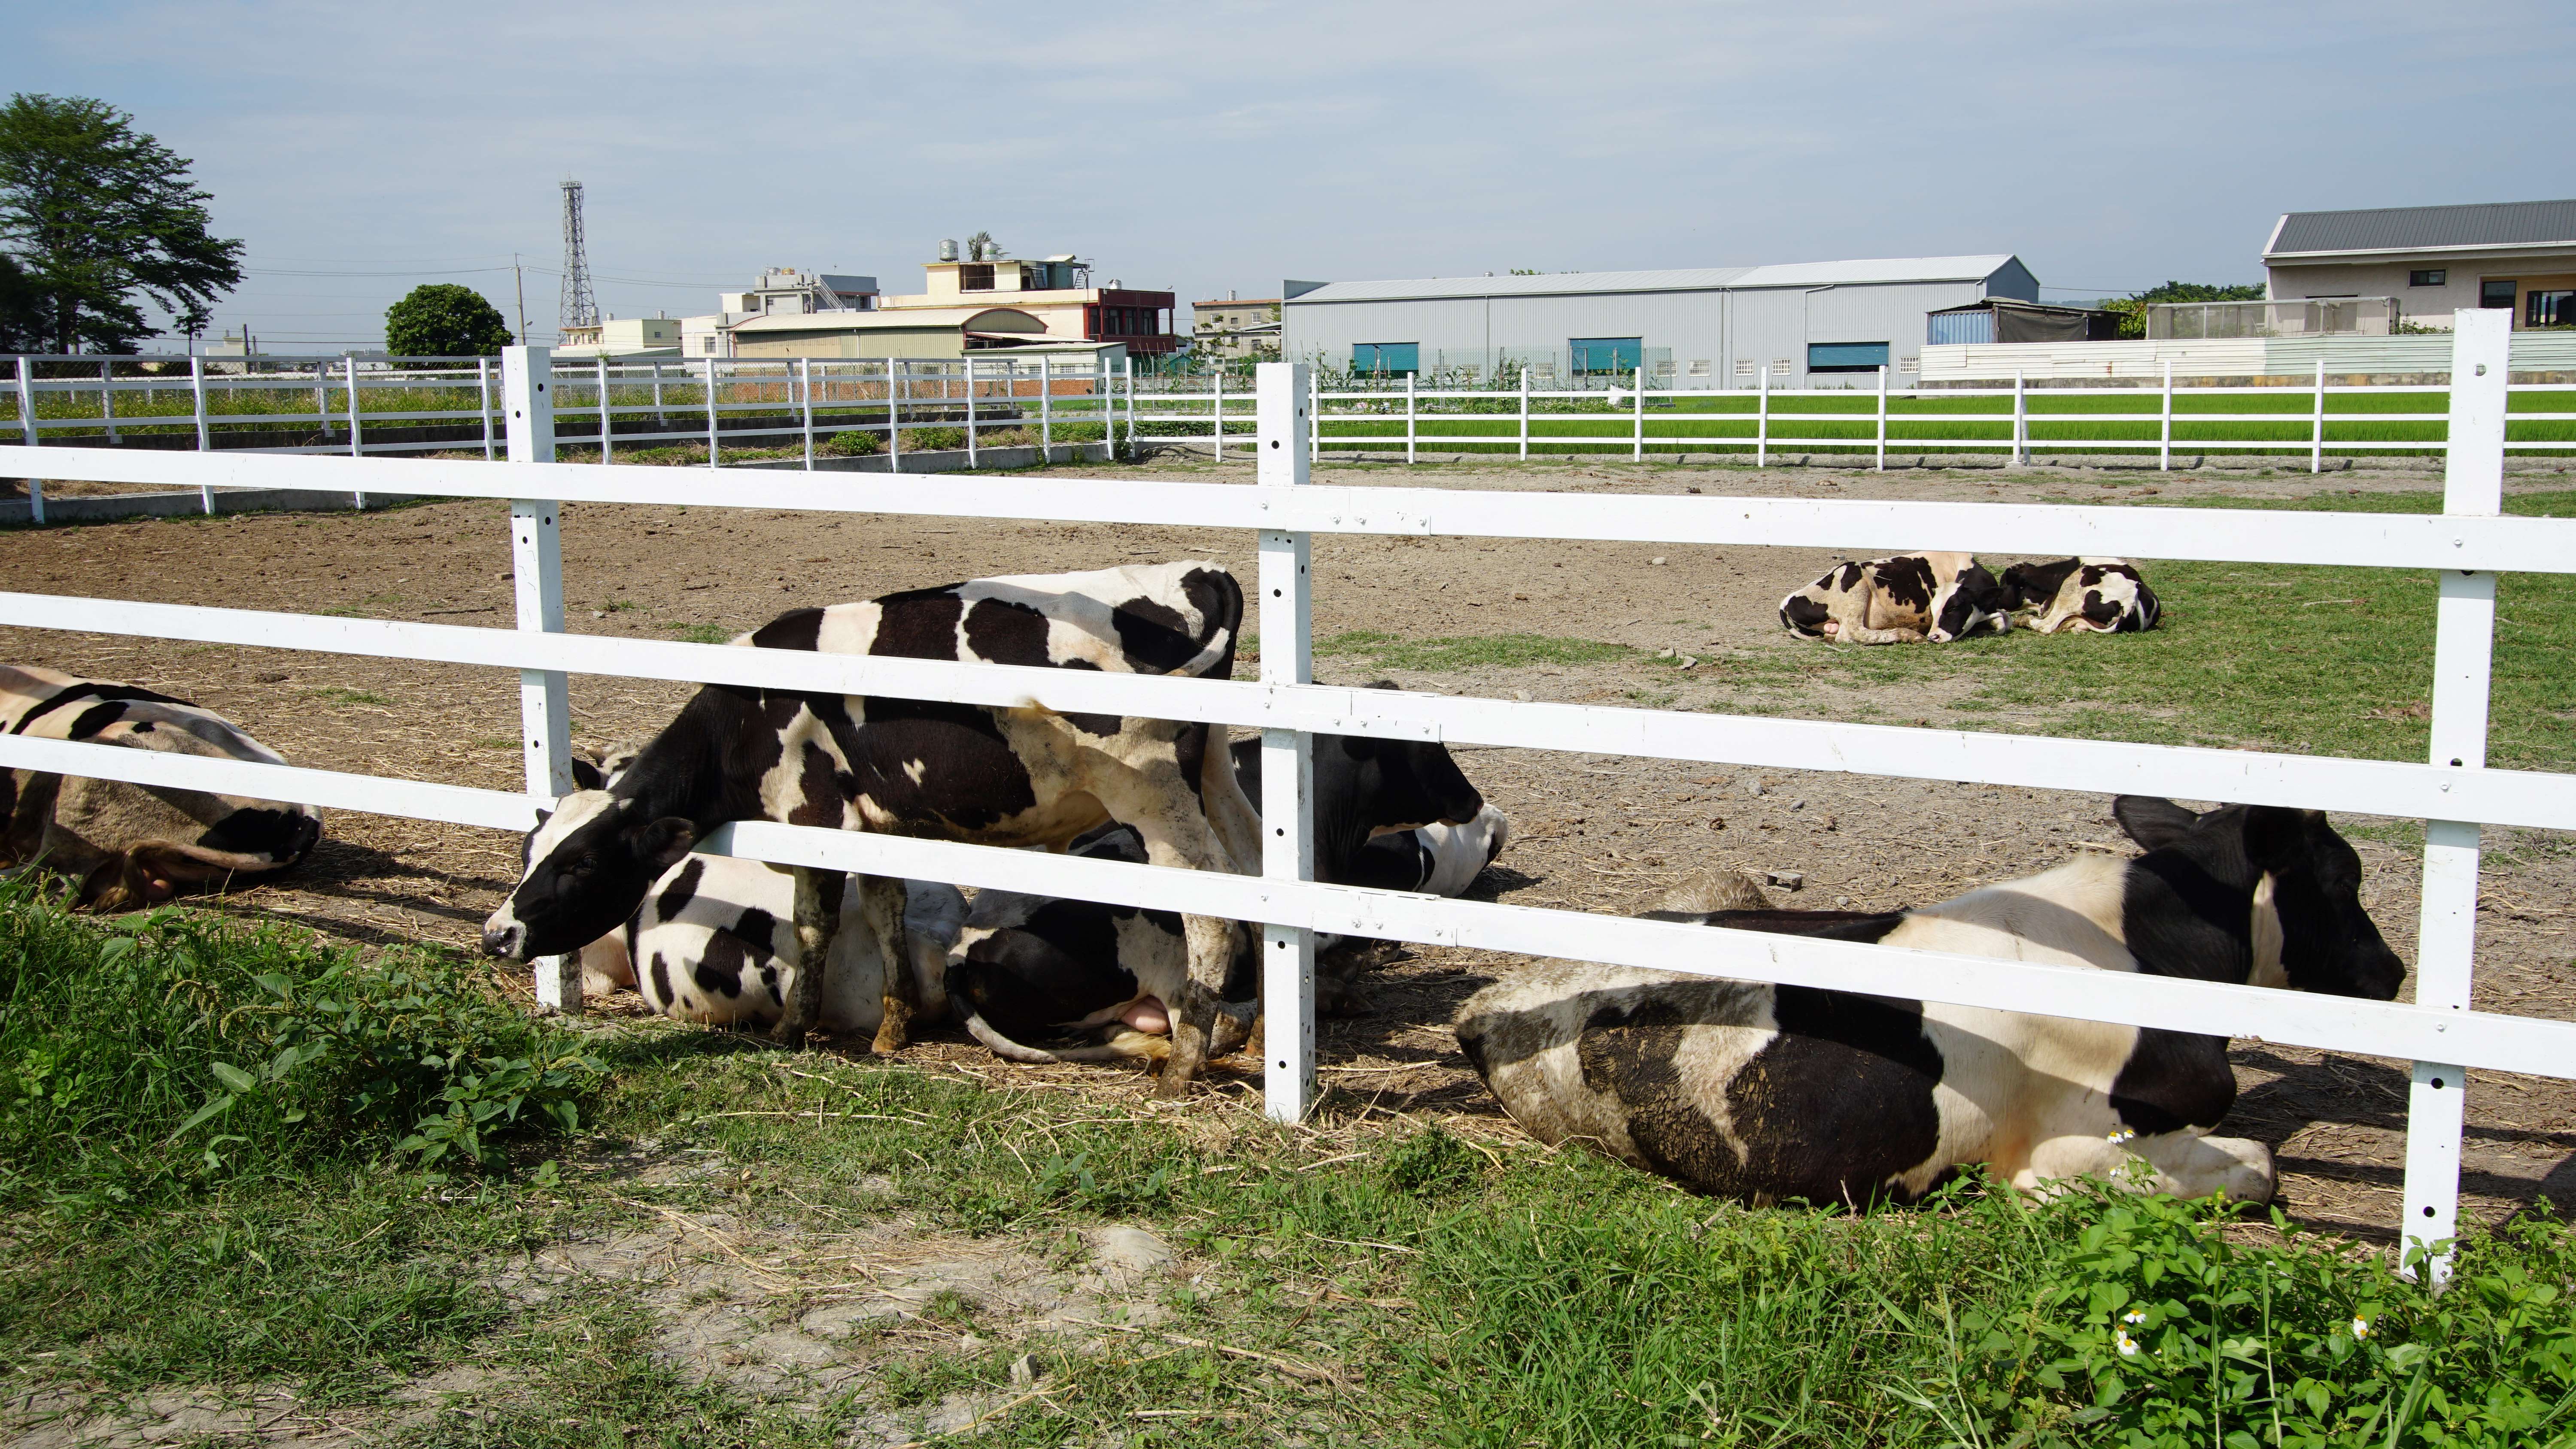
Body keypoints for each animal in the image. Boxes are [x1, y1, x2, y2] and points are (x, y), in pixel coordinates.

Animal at [479, 561, 1262, 1096]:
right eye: (529, 850)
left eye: (580, 864)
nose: (497, 935)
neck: (750, 707)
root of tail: (1198, 572)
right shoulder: (875, 824)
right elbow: (886, 907)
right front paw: (894, 1026)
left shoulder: (811, 815)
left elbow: (813, 924)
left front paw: (792, 1029)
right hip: (1213, 777)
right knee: (1251, 873)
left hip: (1151, 794)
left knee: (1209, 911)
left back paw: (1184, 1065)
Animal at [1772, 556, 2009, 646]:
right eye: (1935, 609)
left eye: (1954, 608)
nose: (1934, 636)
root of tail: (1791, 598)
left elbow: (2004, 622)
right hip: (1853, 577)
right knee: (1852, 633)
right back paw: (1908, 635)